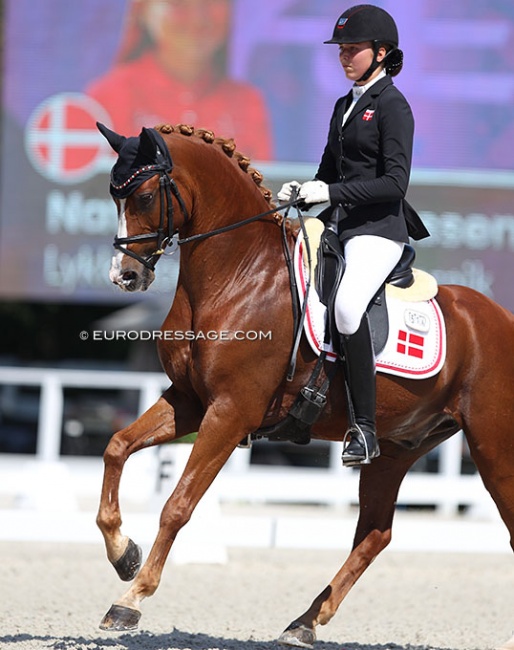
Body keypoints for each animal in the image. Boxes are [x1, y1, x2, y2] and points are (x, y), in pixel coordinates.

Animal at [98, 123, 512, 648]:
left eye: (146, 196)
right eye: (114, 196)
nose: (125, 276)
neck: (239, 273)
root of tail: (503, 319)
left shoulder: (230, 412)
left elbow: (178, 504)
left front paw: (131, 599)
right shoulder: (190, 402)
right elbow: (116, 446)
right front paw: (123, 555)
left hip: (493, 446)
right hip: (399, 446)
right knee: (374, 533)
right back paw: (304, 622)